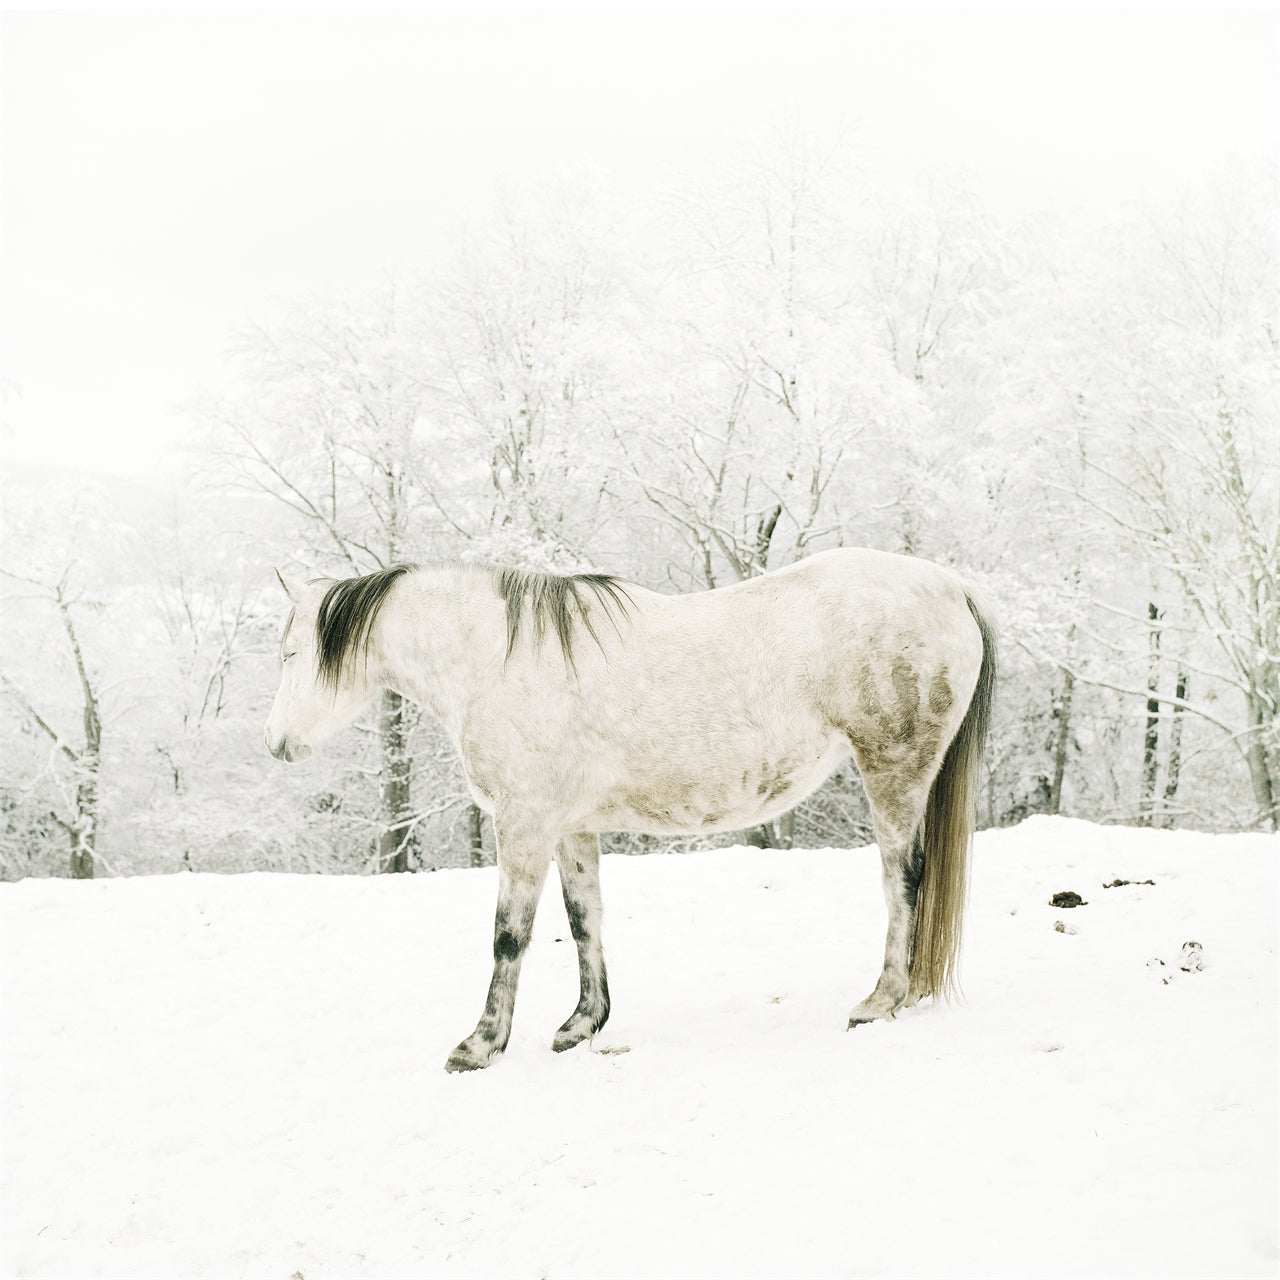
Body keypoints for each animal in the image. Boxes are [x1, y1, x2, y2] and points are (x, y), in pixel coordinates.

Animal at [265, 548, 996, 1072]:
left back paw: (881, 999)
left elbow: (508, 935)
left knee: (904, 882)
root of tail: (952, 589)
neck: (495, 660)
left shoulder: (523, 825)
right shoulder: (570, 827)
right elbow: (584, 921)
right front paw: (582, 1024)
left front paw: (480, 1045)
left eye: (292, 652)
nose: (275, 744)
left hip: (893, 771)